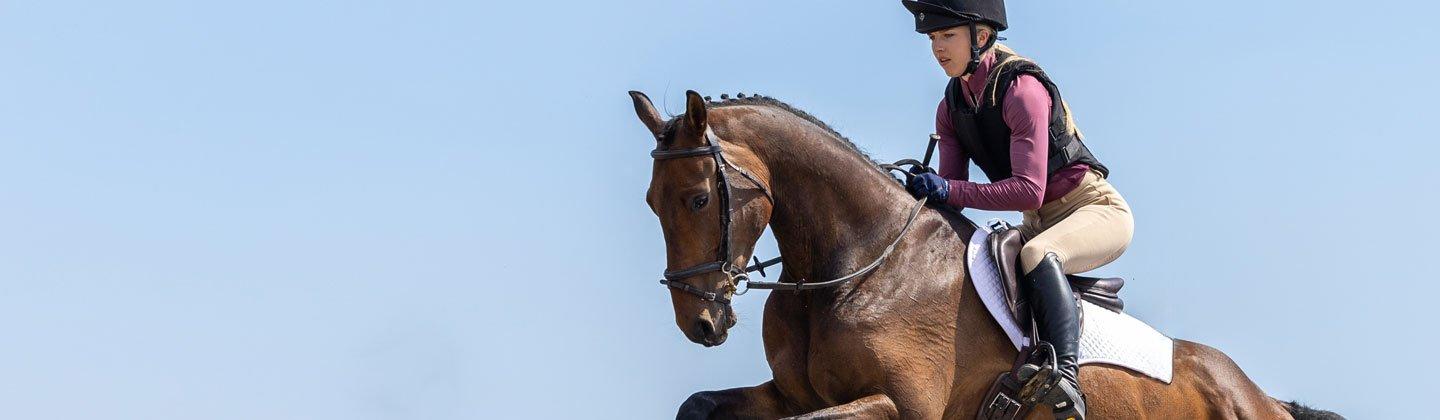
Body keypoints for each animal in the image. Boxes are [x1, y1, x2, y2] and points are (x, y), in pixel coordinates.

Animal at [631, 90, 1339, 419]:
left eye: (698, 198)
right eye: (650, 202)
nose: (700, 323)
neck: (854, 268)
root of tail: (1264, 398)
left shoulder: (900, 407)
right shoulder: (789, 394)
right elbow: (700, 406)